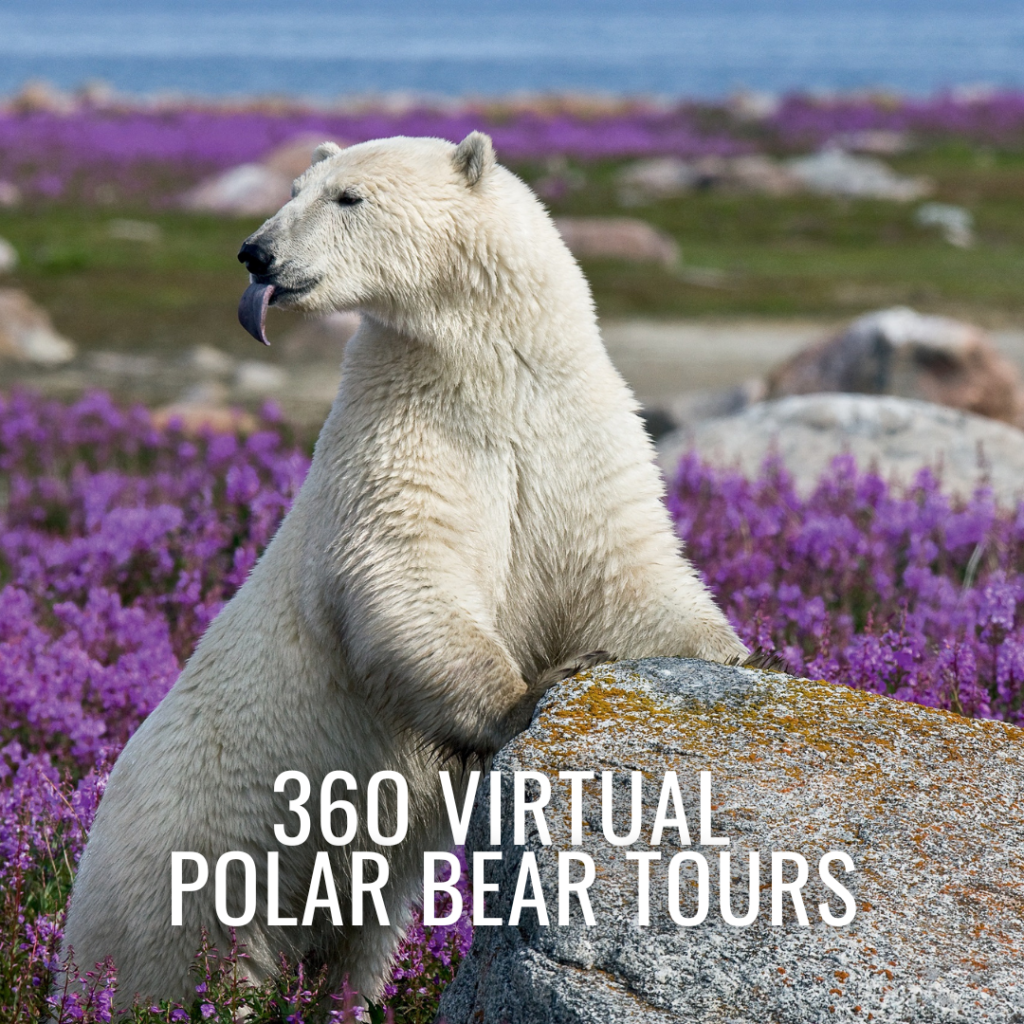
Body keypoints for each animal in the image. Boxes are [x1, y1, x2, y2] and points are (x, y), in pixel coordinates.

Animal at [59, 132, 748, 1008]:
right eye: (294, 187)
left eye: (346, 196)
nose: (256, 253)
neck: (486, 373)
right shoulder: (405, 434)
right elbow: (406, 572)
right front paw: (527, 697)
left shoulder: (571, 435)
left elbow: (624, 569)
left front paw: (731, 653)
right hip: (192, 871)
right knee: (189, 971)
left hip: (342, 891)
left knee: (356, 947)